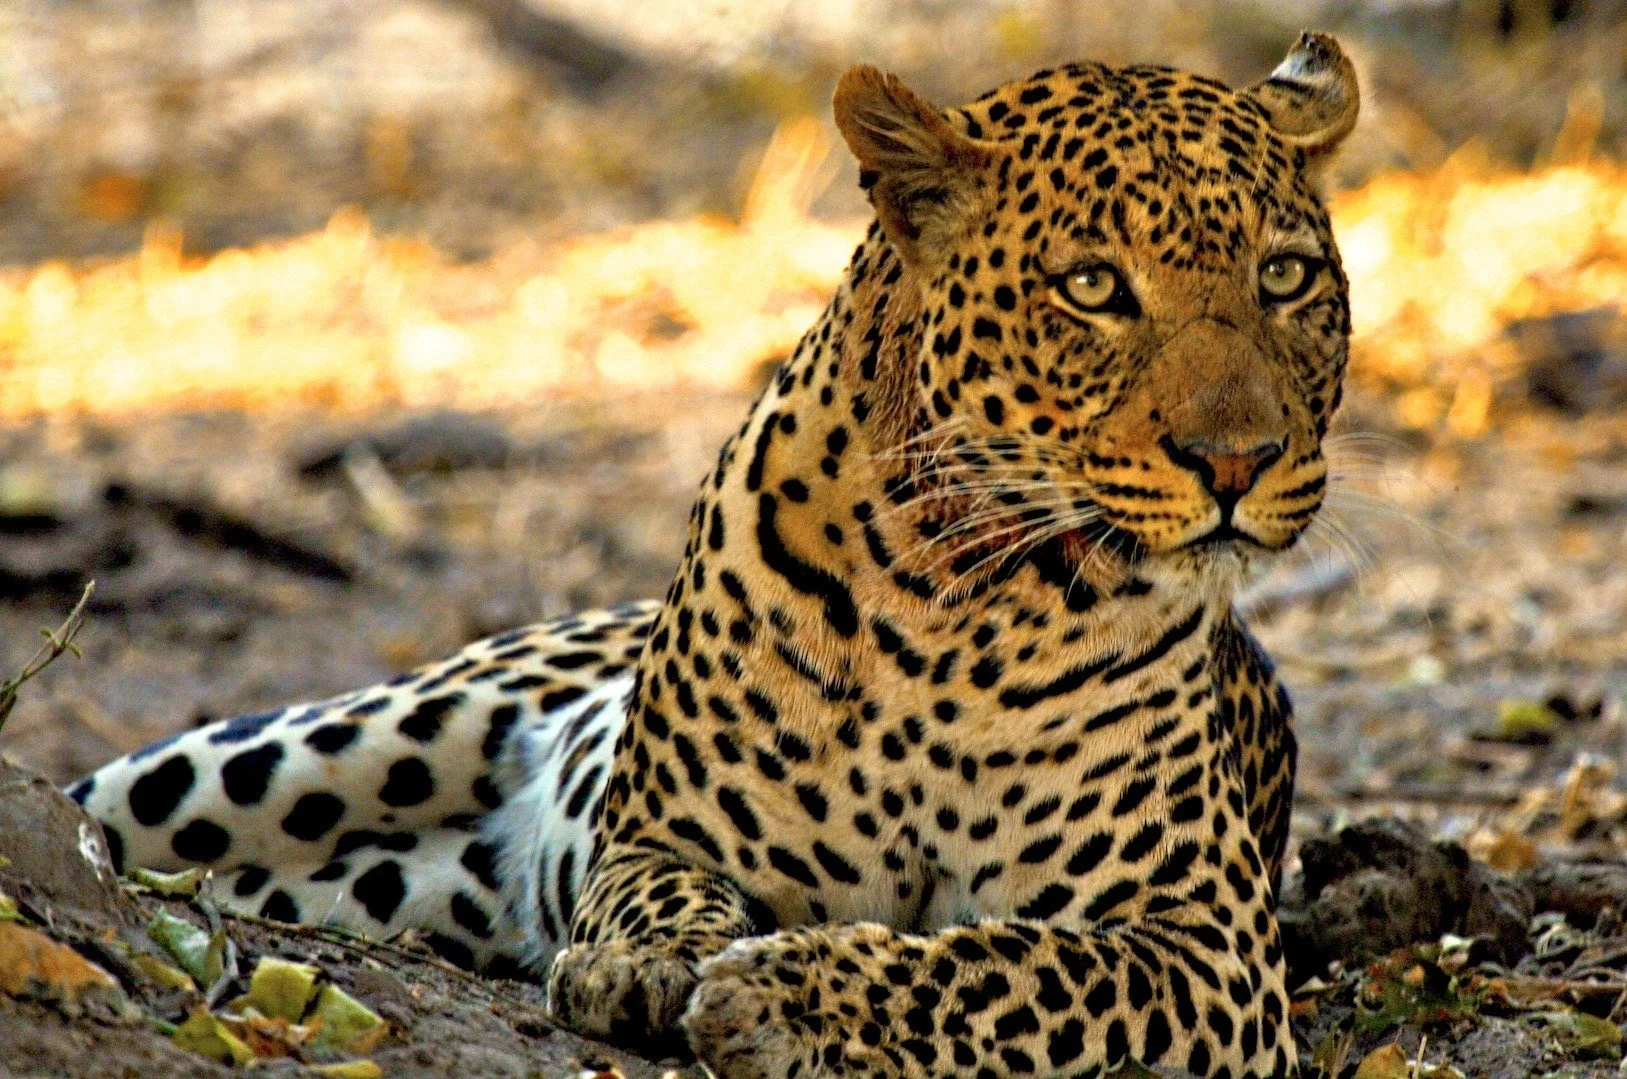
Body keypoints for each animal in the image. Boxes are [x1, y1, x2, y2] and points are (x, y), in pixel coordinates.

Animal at [68, 32, 1359, 1077]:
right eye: (1091, 286)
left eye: (1284, 275)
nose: (1236, 460)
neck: (959, 599)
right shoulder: (658, 830)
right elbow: (655, 888)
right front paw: (642, 964)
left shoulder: (1202, 944)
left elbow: (1002, 965)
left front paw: (790, 992)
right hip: (314, 747)